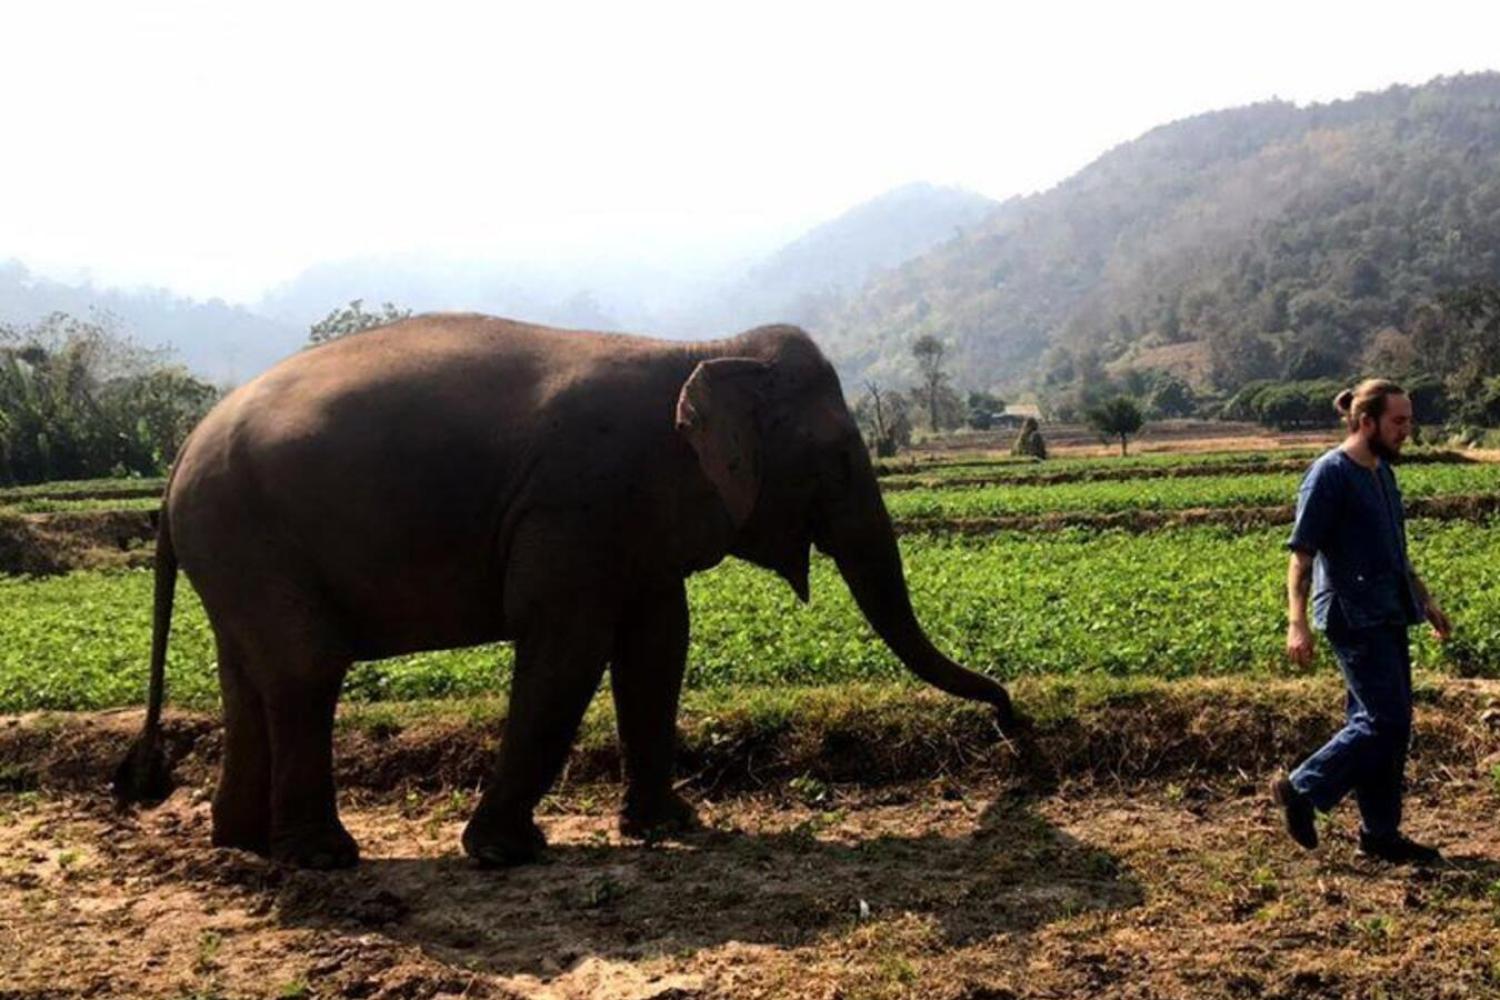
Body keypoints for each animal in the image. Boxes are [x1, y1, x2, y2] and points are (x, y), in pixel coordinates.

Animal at [114, 315, 1015, 869]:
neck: (698, 348)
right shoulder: (576, 502)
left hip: (233, 553)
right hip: (248, 535)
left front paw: (670, 827)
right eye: (838, 461)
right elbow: (568, 645)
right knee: (306, 669)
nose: (1017, 729)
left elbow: (658, 643)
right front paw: (504, 851)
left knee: (248, 676)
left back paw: (243, 842)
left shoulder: (635, 515)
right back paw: (326, 857)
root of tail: (177, 461)